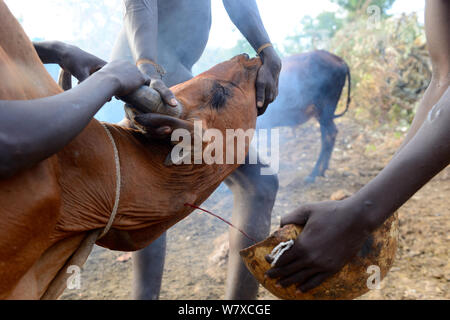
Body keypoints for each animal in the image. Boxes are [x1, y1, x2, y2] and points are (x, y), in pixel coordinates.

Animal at [256, 50, 352, 182]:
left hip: (325, 110)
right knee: (327, 135)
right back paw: (322, 169)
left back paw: (314, 173)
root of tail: (339, 60)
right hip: (322, 114)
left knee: (330, 134)